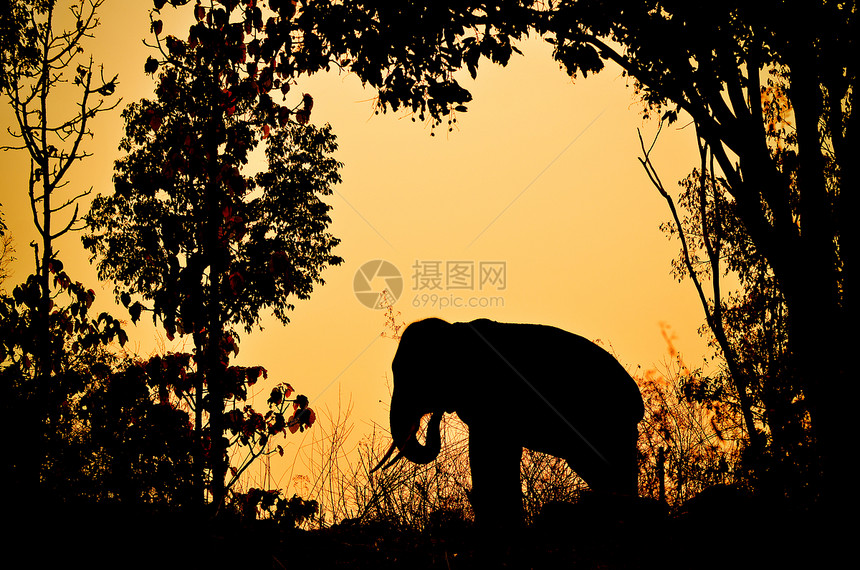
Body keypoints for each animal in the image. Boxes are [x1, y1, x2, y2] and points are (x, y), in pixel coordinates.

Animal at [372, 316, 640, 528]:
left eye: (415, 375)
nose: (435, 415)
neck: (457, 332)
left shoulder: (495, 398)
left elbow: (490, 451)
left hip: (606, 424)